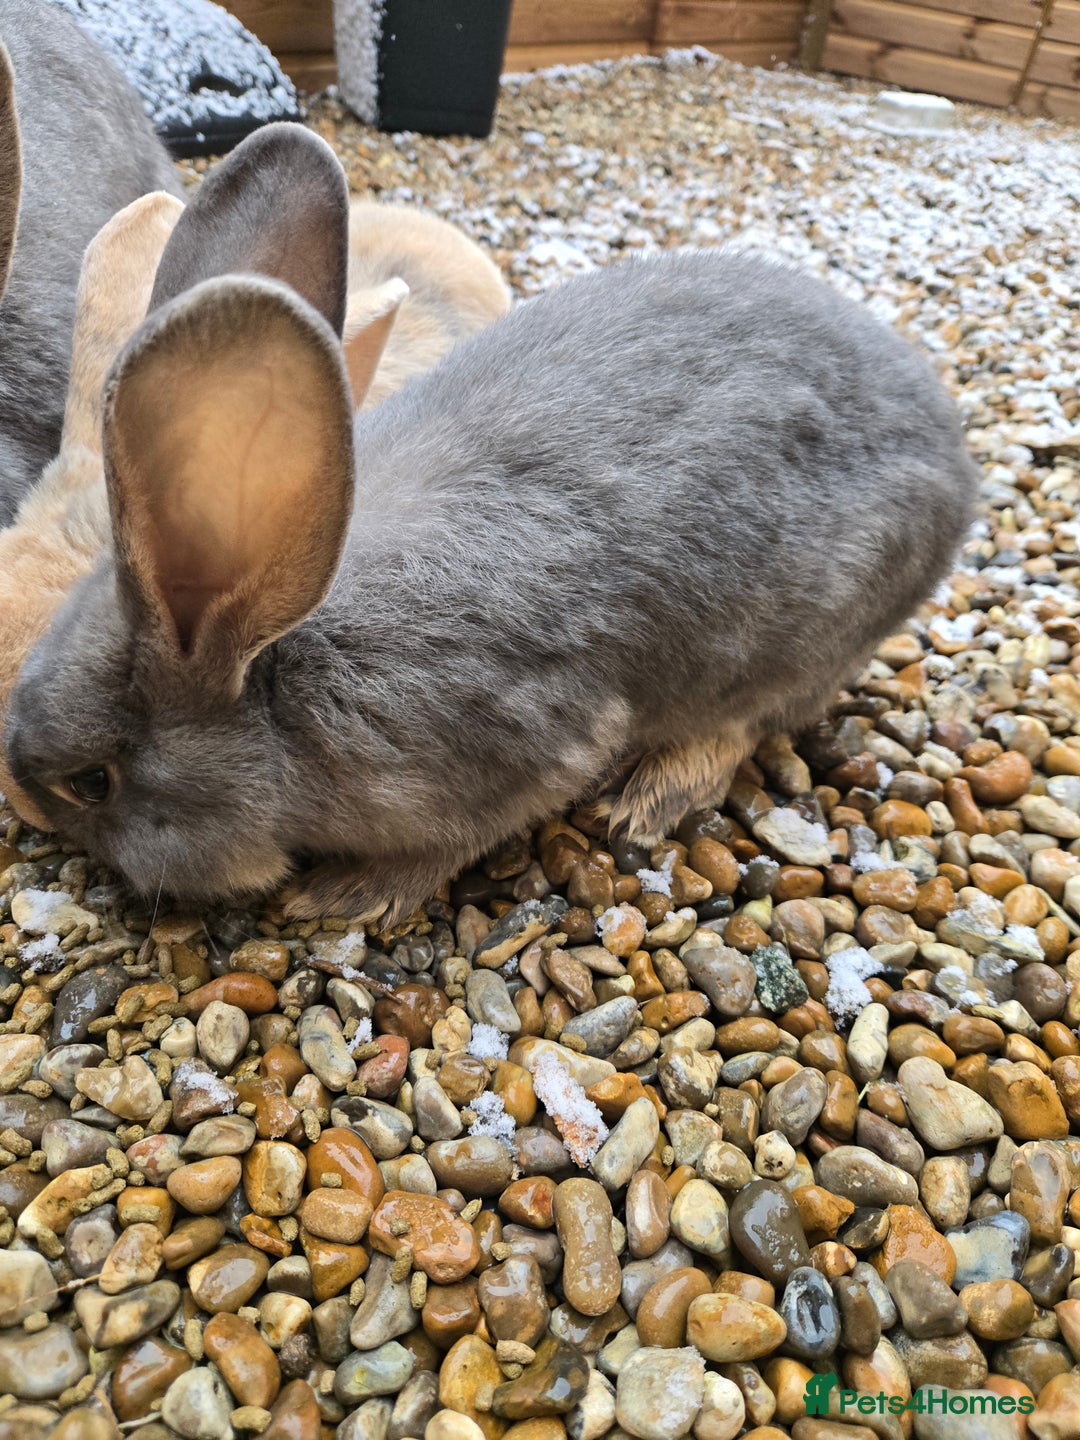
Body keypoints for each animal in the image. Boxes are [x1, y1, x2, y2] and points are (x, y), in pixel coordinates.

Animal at [4, 124, 977, 925]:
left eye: (92, 782)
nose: (25, 806)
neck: (276, 665)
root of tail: (951, 453)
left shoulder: (529, 750)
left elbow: (455, 839)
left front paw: (346, 895)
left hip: (799, 639)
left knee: (742, 726)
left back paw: (647, 799)